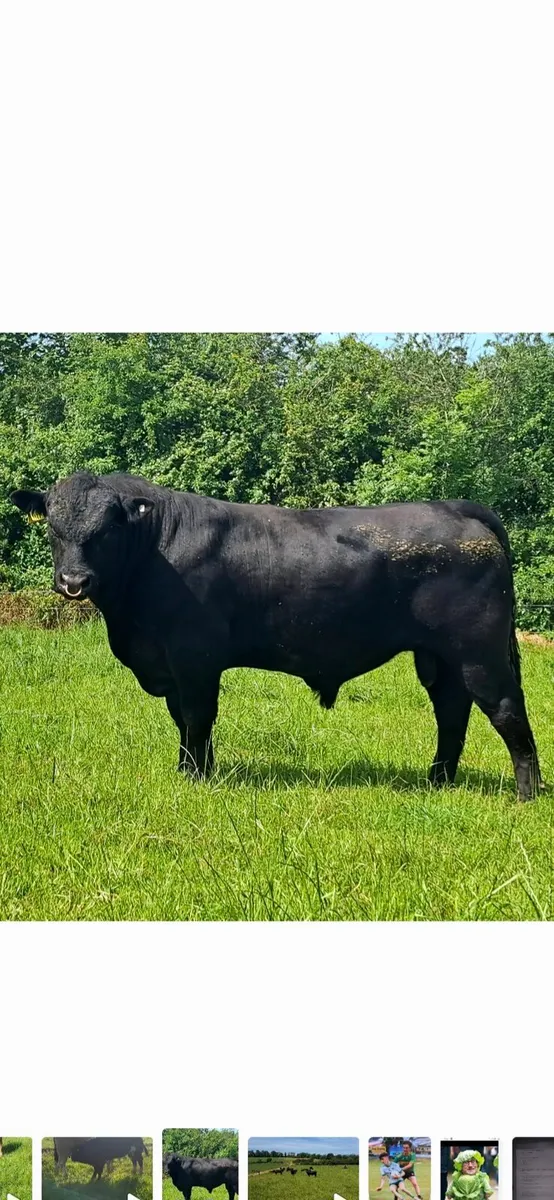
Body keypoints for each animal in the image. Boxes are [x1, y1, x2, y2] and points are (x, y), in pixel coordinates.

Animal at [11, 471, 541, 800]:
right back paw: (438, 781)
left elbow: (197, 718)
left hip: (480, 653)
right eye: (53, 527)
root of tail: (455, 507)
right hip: (440, 657)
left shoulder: (194, 658)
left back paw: (527, 793)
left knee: (507, 712)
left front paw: (196, 776)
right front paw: (191, 770)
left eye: (106, 529)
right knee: (451, 713)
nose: (73, 582)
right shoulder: (169, 663)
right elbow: (182, 720)